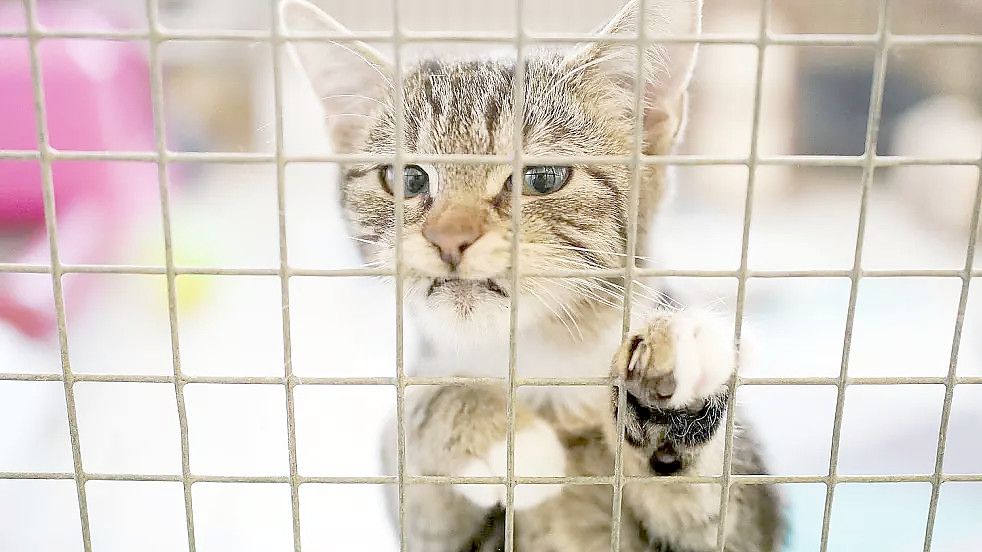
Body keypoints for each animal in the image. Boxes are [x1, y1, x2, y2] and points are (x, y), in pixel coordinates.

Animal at [282, 0, 784, 548]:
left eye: (542, 177)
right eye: (408, 178)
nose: (449, 238)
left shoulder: (752, 526)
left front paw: (670, 385)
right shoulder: (428, 531)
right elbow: (415, 413)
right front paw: (500, 434)